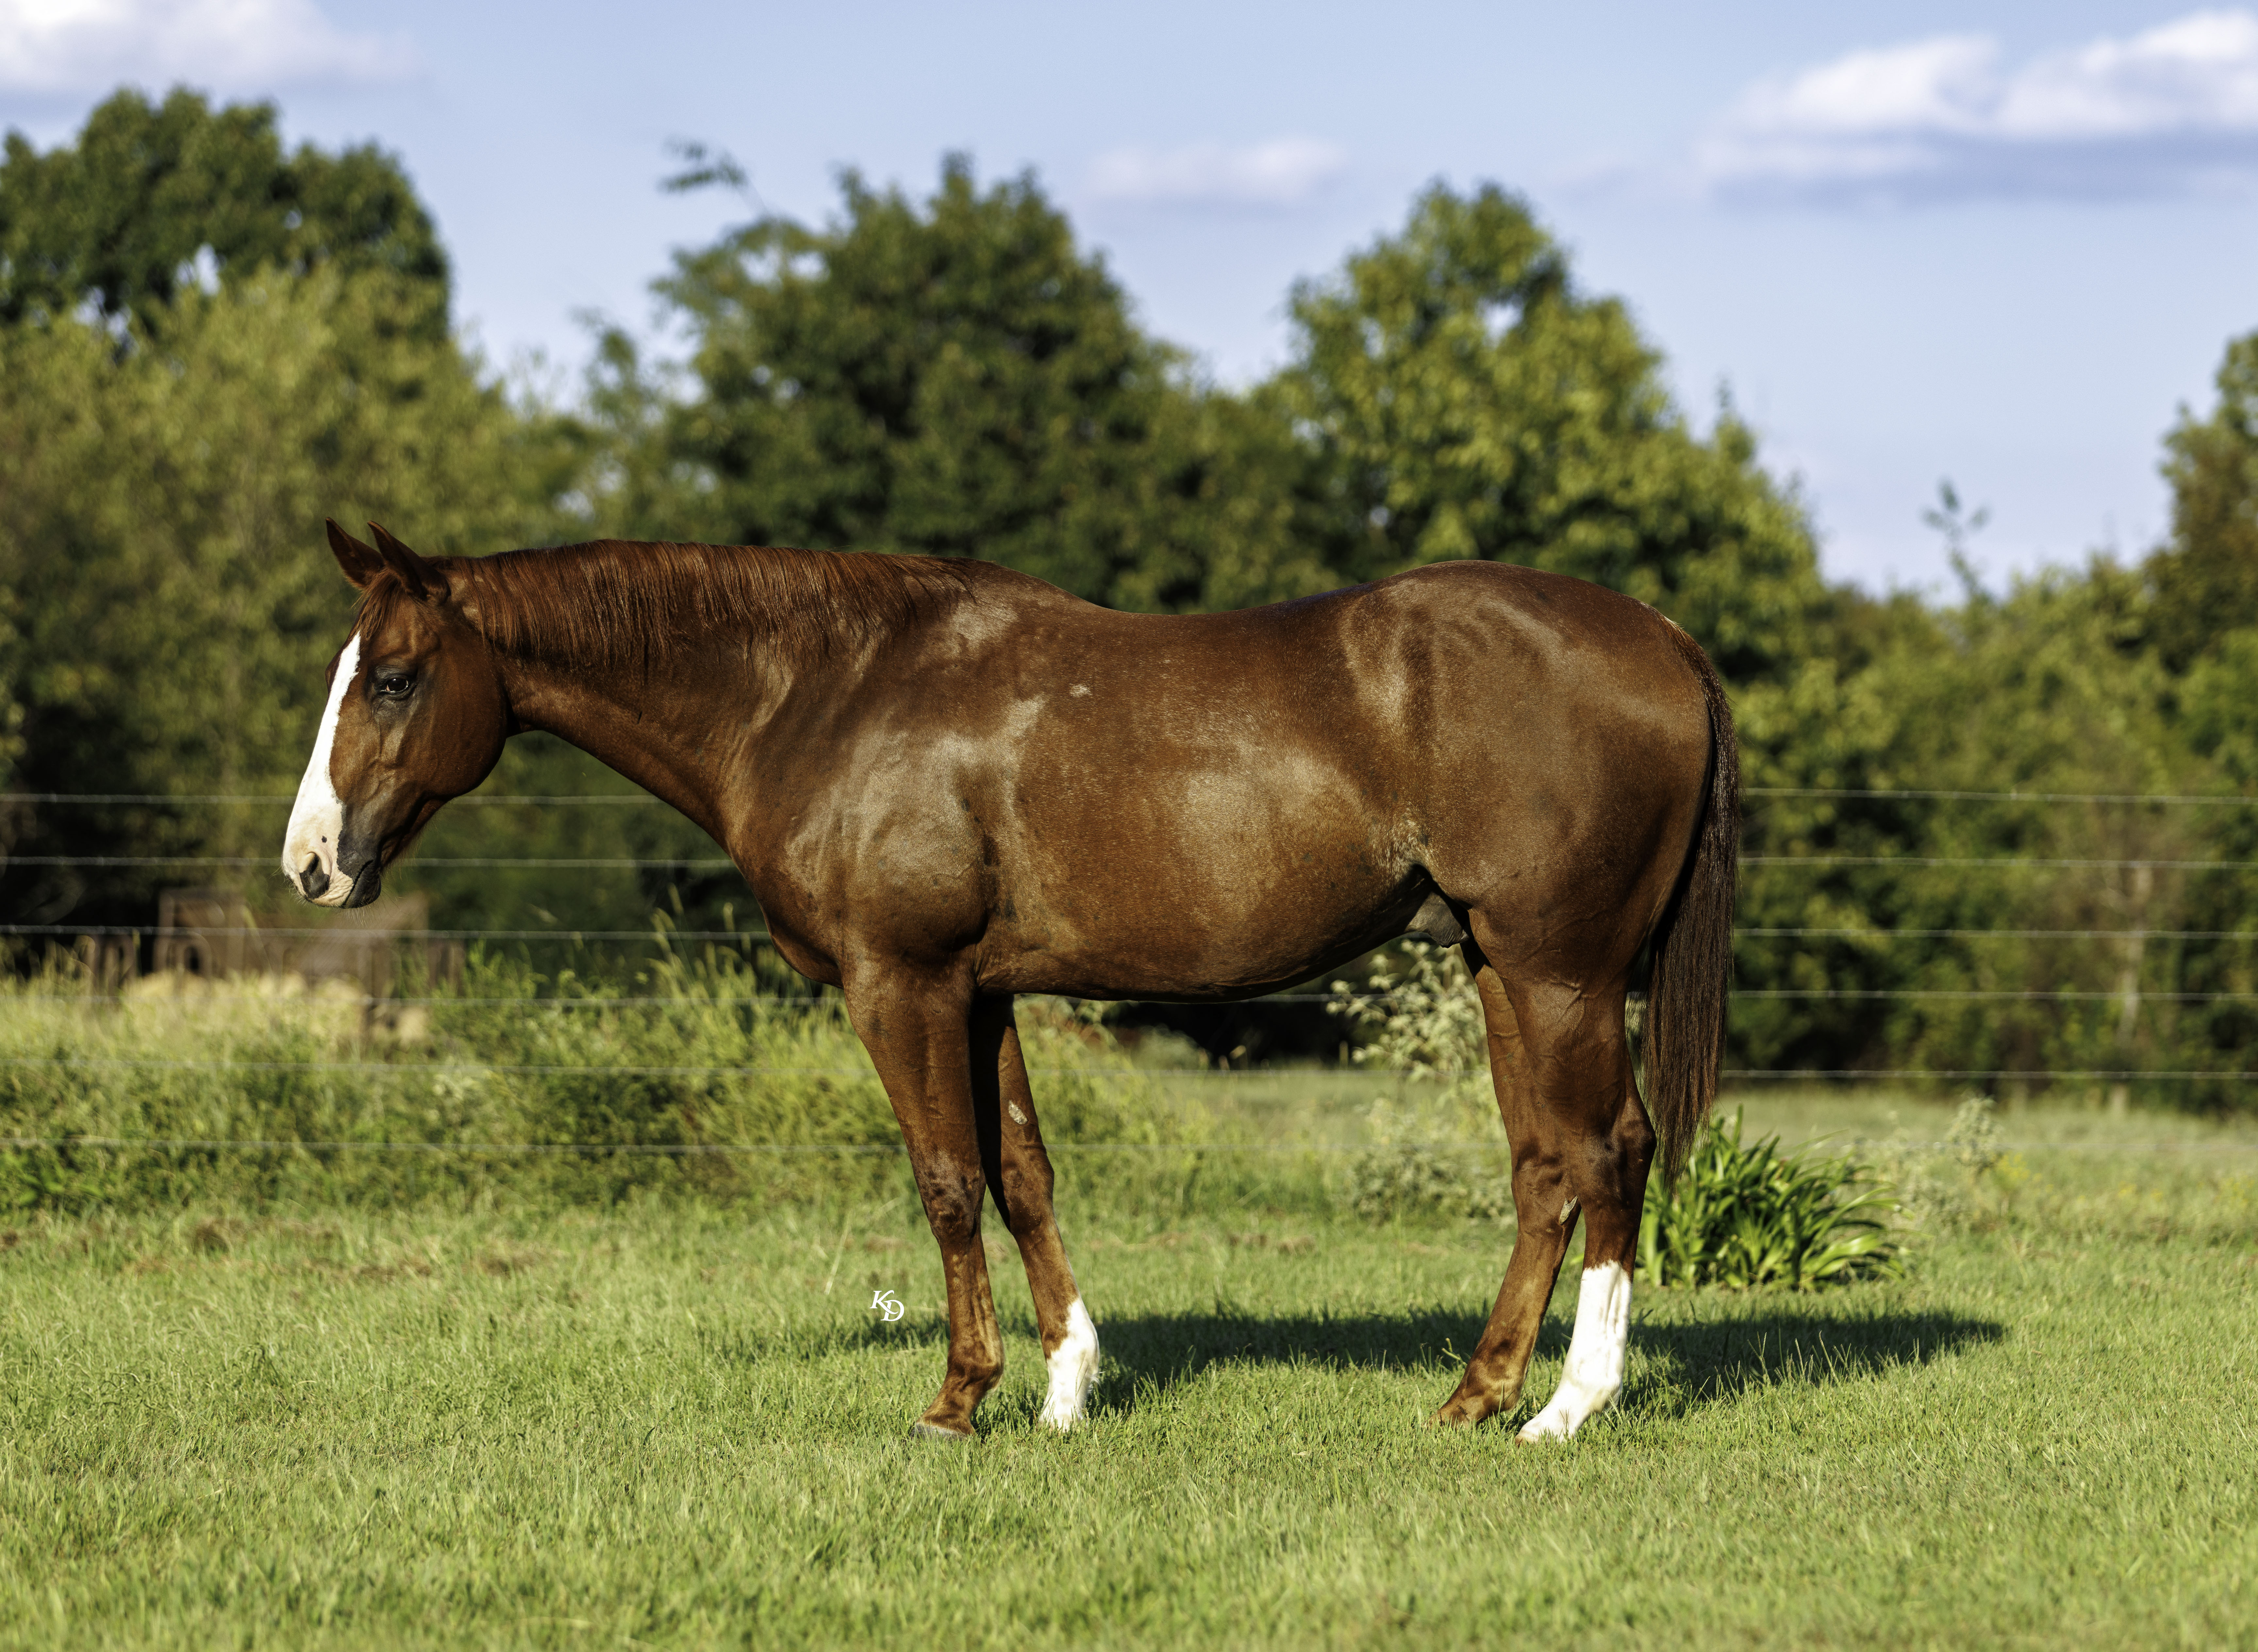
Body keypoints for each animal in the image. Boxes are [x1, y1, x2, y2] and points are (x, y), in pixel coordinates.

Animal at [284, 521, 1737, 1442]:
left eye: (396, 678)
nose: (311, 862)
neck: (829, 694)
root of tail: (1664, 635)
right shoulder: (980, 993)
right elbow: (1021, 1172)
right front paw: (1064, 1391)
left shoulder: (900, 983)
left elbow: (944, 1180)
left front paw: (955, 1398)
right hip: (1499, 967)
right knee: (1543, 1168)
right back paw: (1474, 1395)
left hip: (1557, 971)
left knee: (1607, 1151)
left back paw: (1568, 1408)